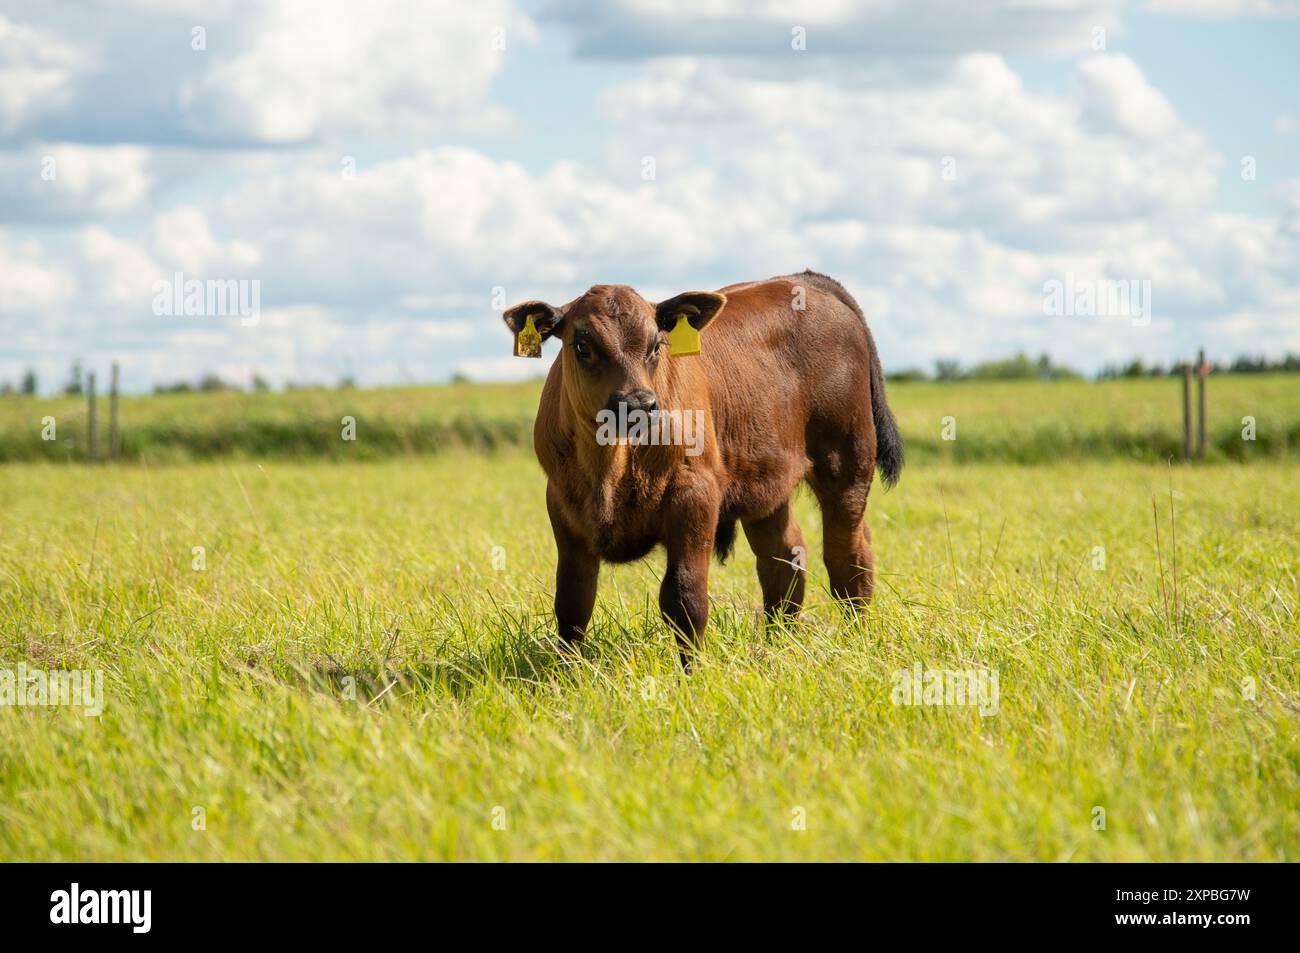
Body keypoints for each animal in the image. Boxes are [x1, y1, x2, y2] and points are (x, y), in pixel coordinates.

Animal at [503, 270, 903, 668]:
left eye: (657, 345)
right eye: (582, 345)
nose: (639, 404)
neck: (611, 468)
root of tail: (804, 279)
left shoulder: (696, 495)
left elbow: (685, 597)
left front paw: (691, 673)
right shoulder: (562, 505)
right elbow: (573, 602)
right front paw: (567, 673)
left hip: (847, 463)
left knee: (848, 556)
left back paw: (857, 639)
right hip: (766, 485)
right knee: (785, 559)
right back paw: (777, 645)